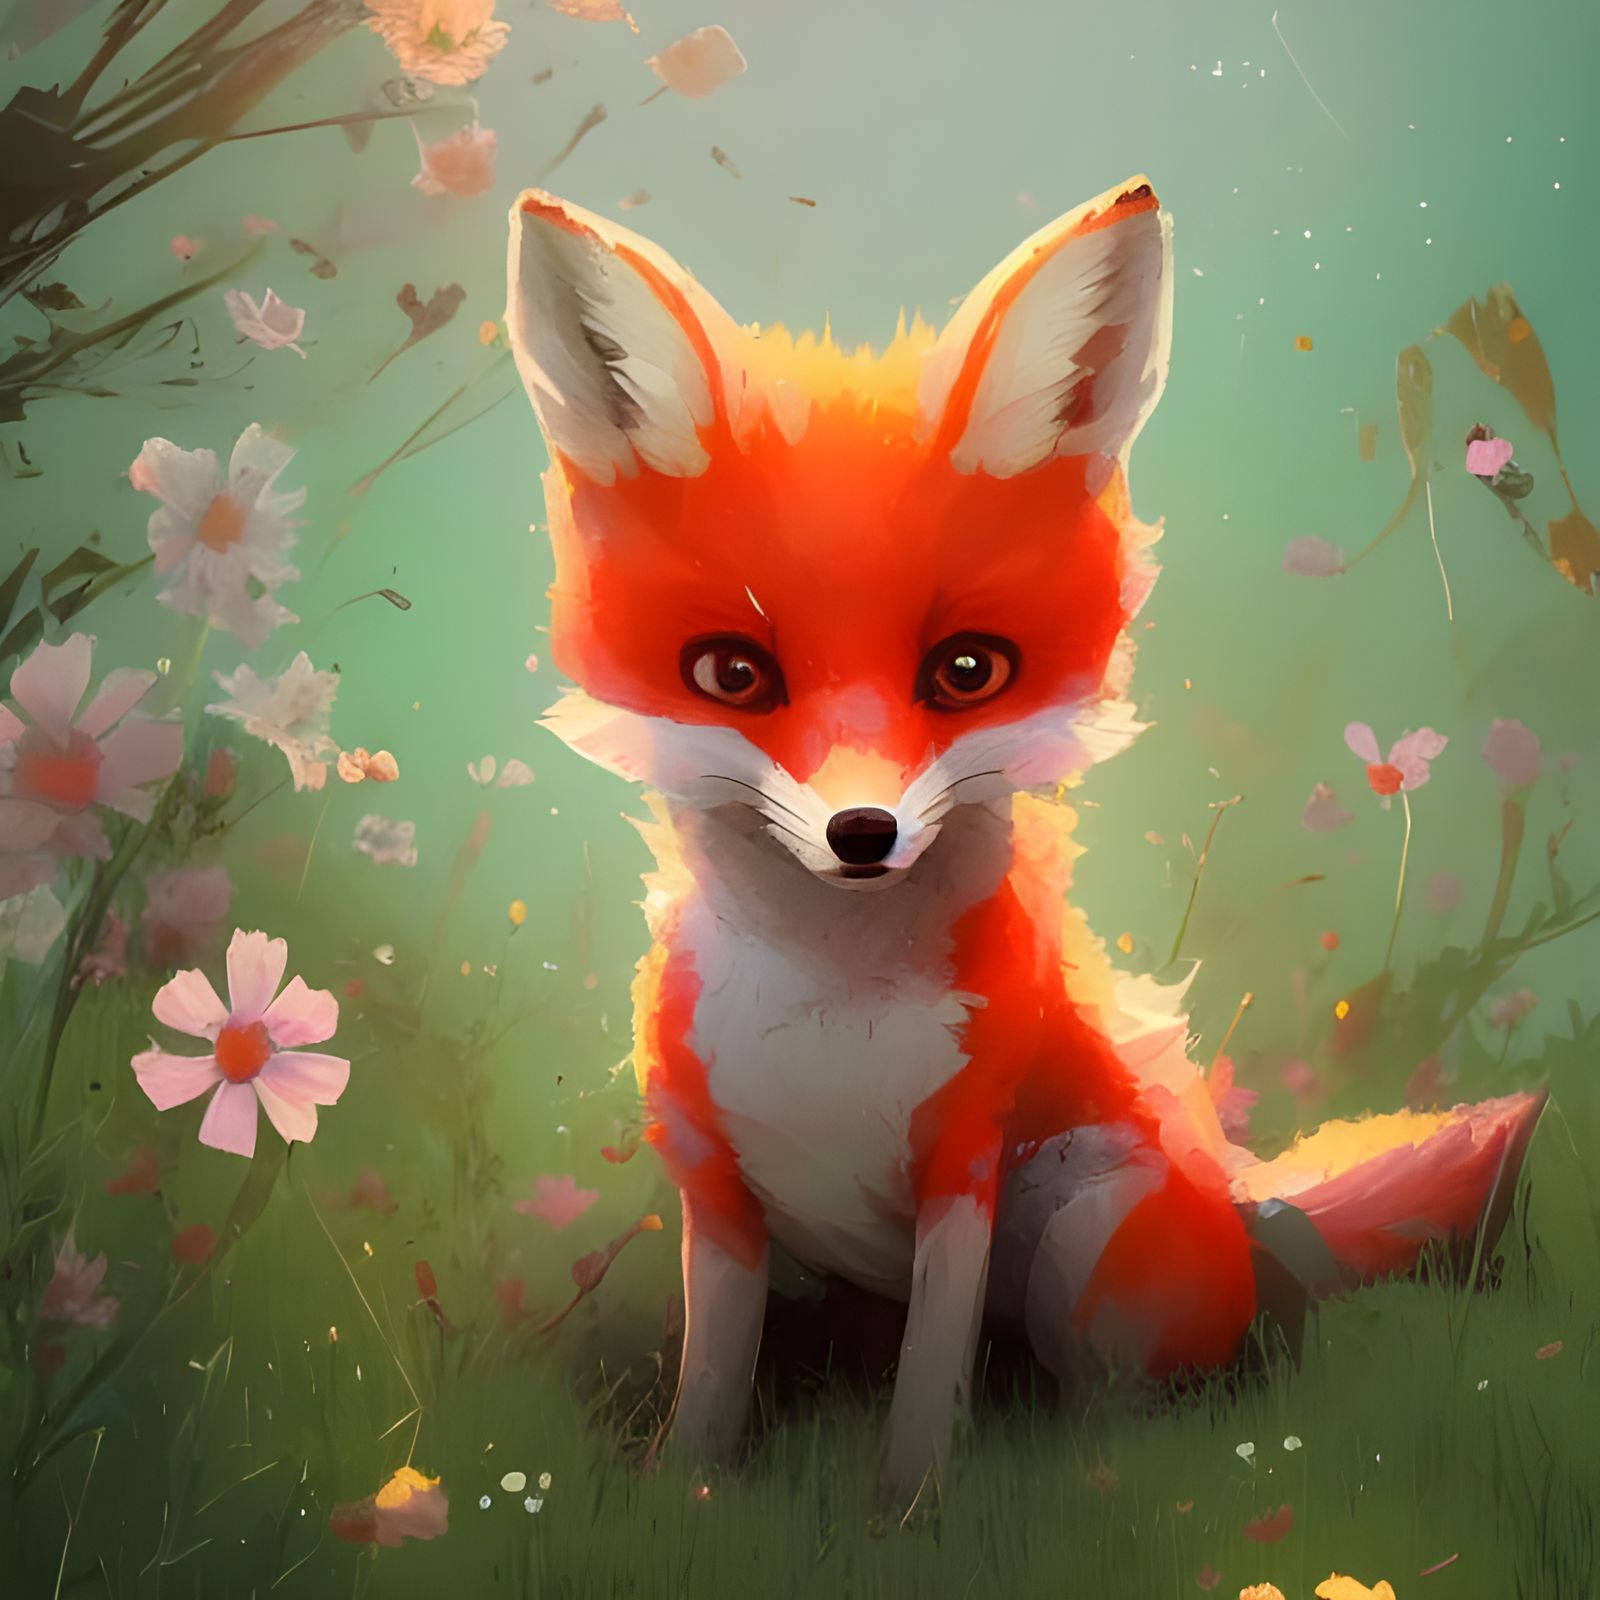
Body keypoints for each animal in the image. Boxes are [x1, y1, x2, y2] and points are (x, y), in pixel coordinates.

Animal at [503, 175, 1546, 1500]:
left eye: (967, 670)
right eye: (732, 673)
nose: (862, 830)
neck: (828, 1016)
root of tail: (1246, 1208)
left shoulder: (966, 1164)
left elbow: (926, 1390)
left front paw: (907, 1512)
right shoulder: (717, 1187)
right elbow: (710, 1390)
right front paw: (680, 1500)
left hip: (1079, 1239)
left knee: (1111, 1417)